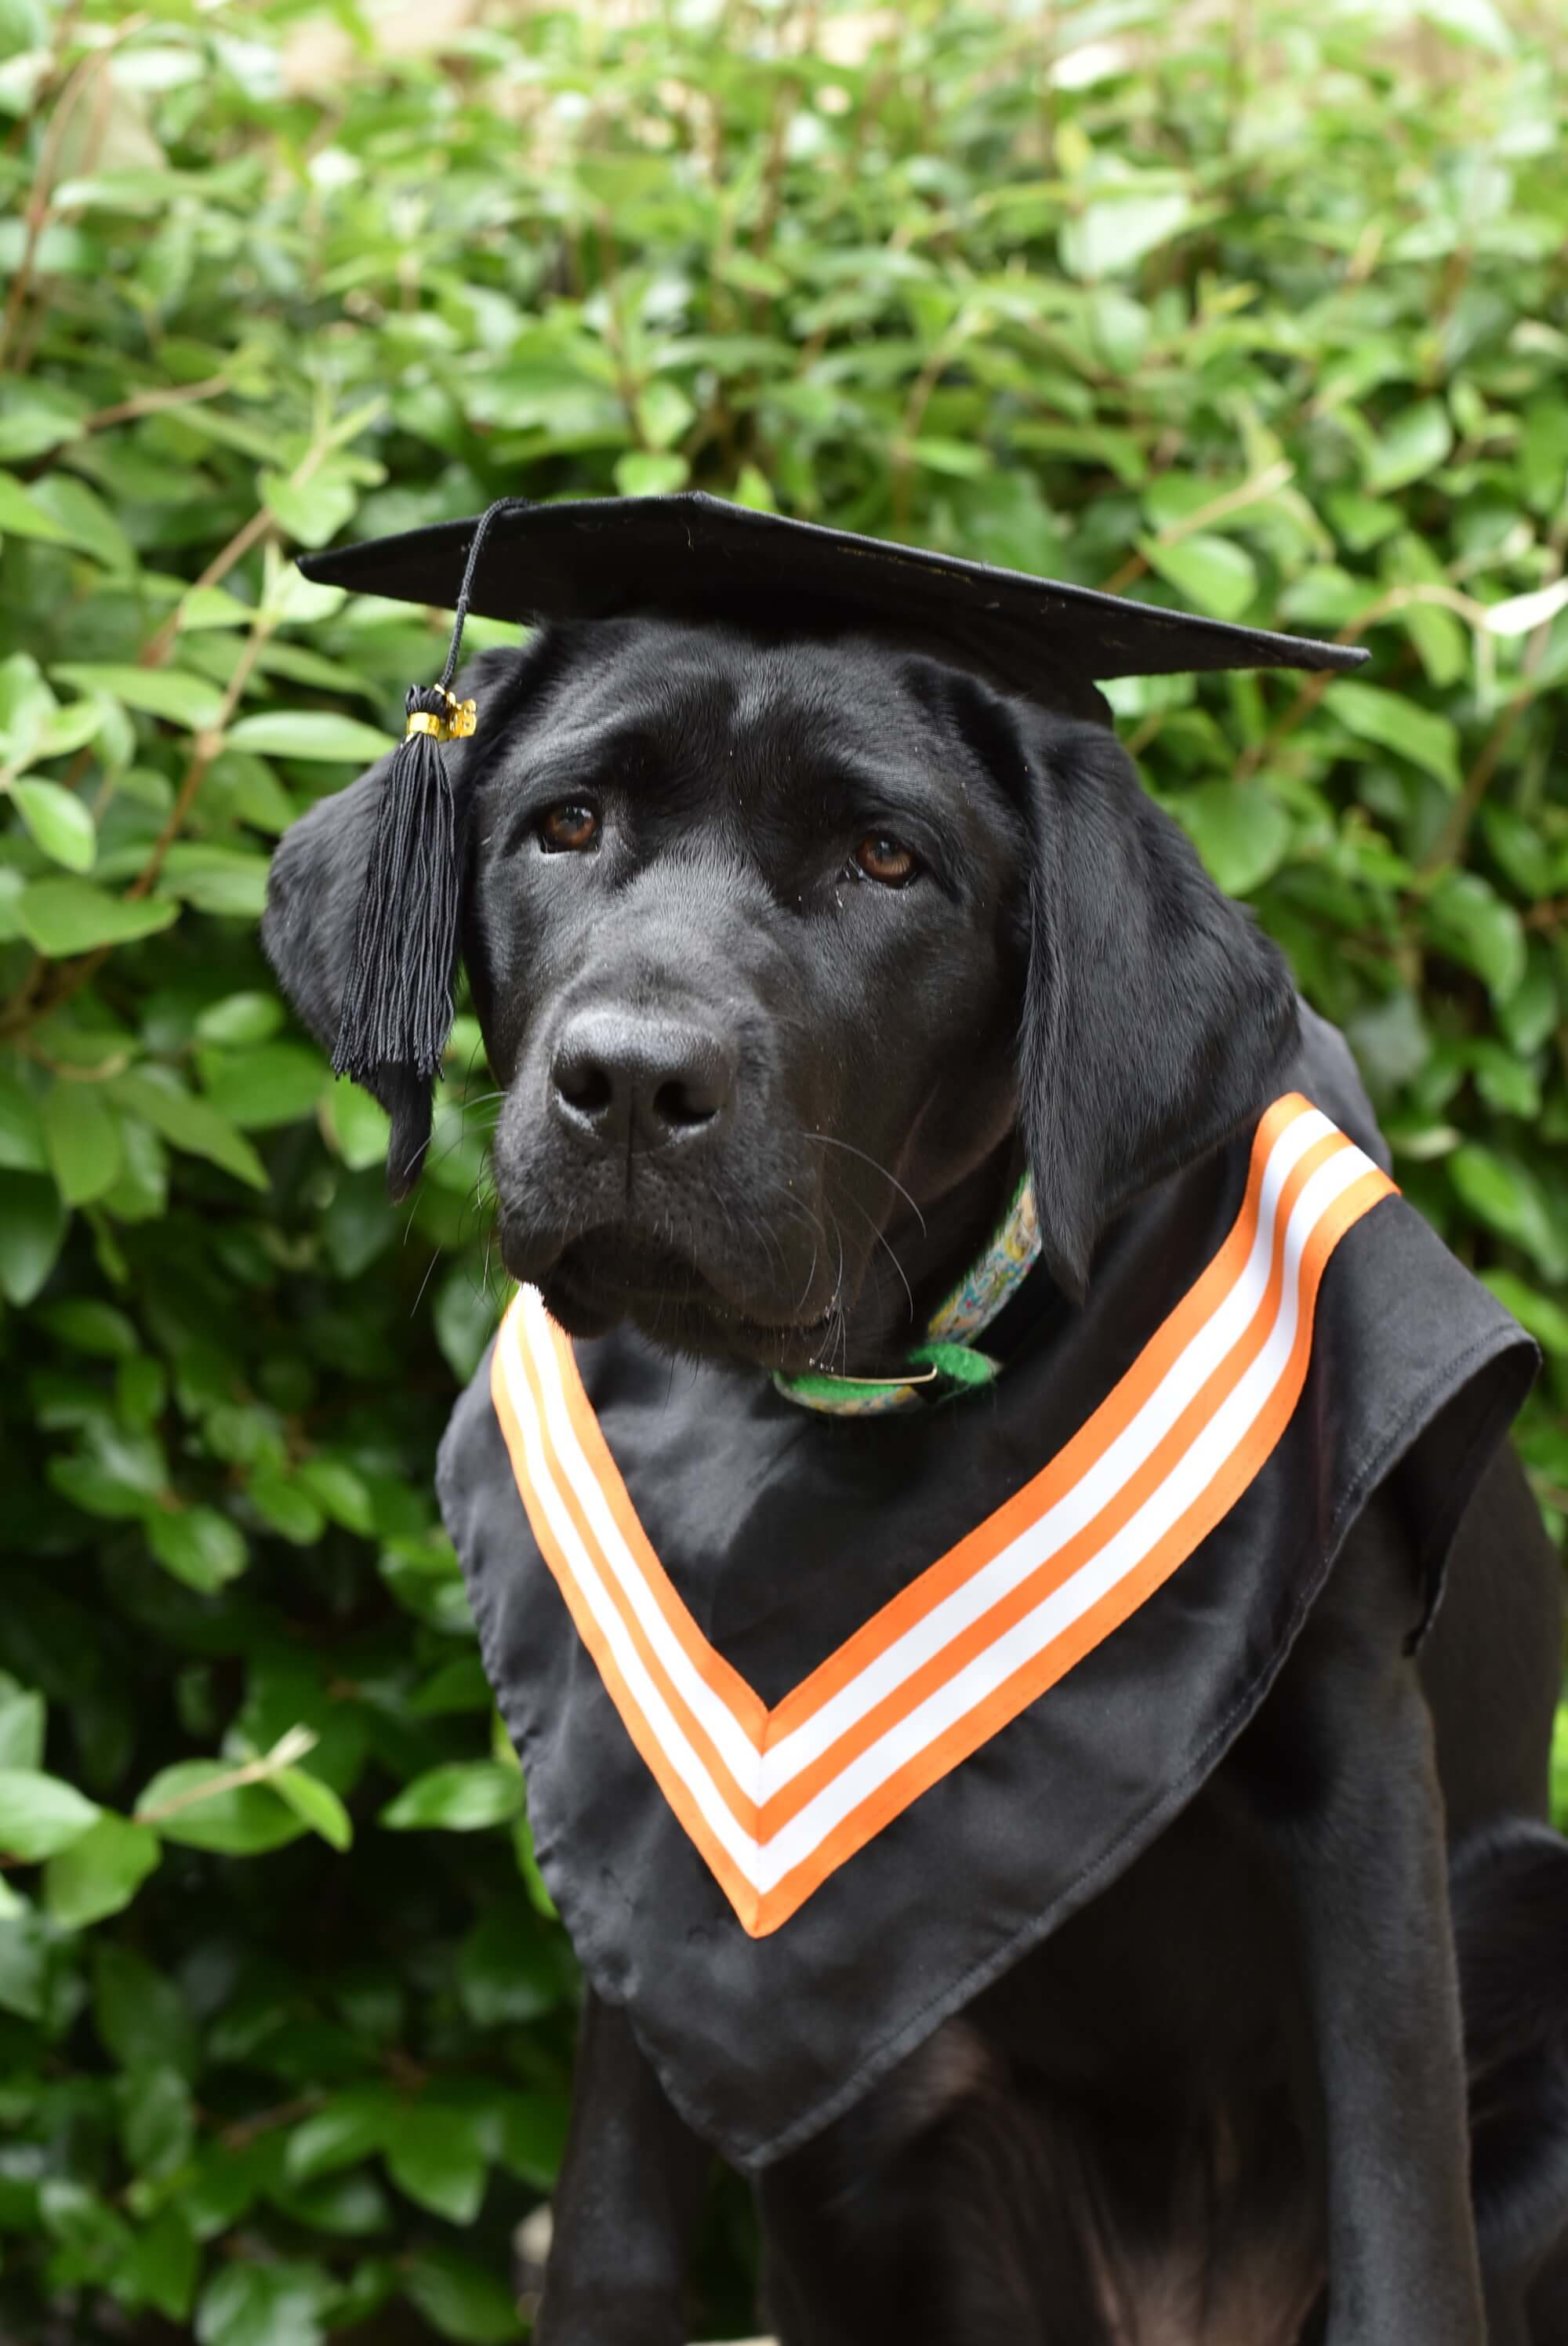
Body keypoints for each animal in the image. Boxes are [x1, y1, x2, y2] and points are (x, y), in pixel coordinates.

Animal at [266, 614, 1568, 2336]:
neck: (877, 1377)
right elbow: (611, 2224)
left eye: (887, 859)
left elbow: (1401, 2232)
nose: (629, 1082)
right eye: (566, 823)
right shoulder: (657, 1849)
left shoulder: (1357, 1751)